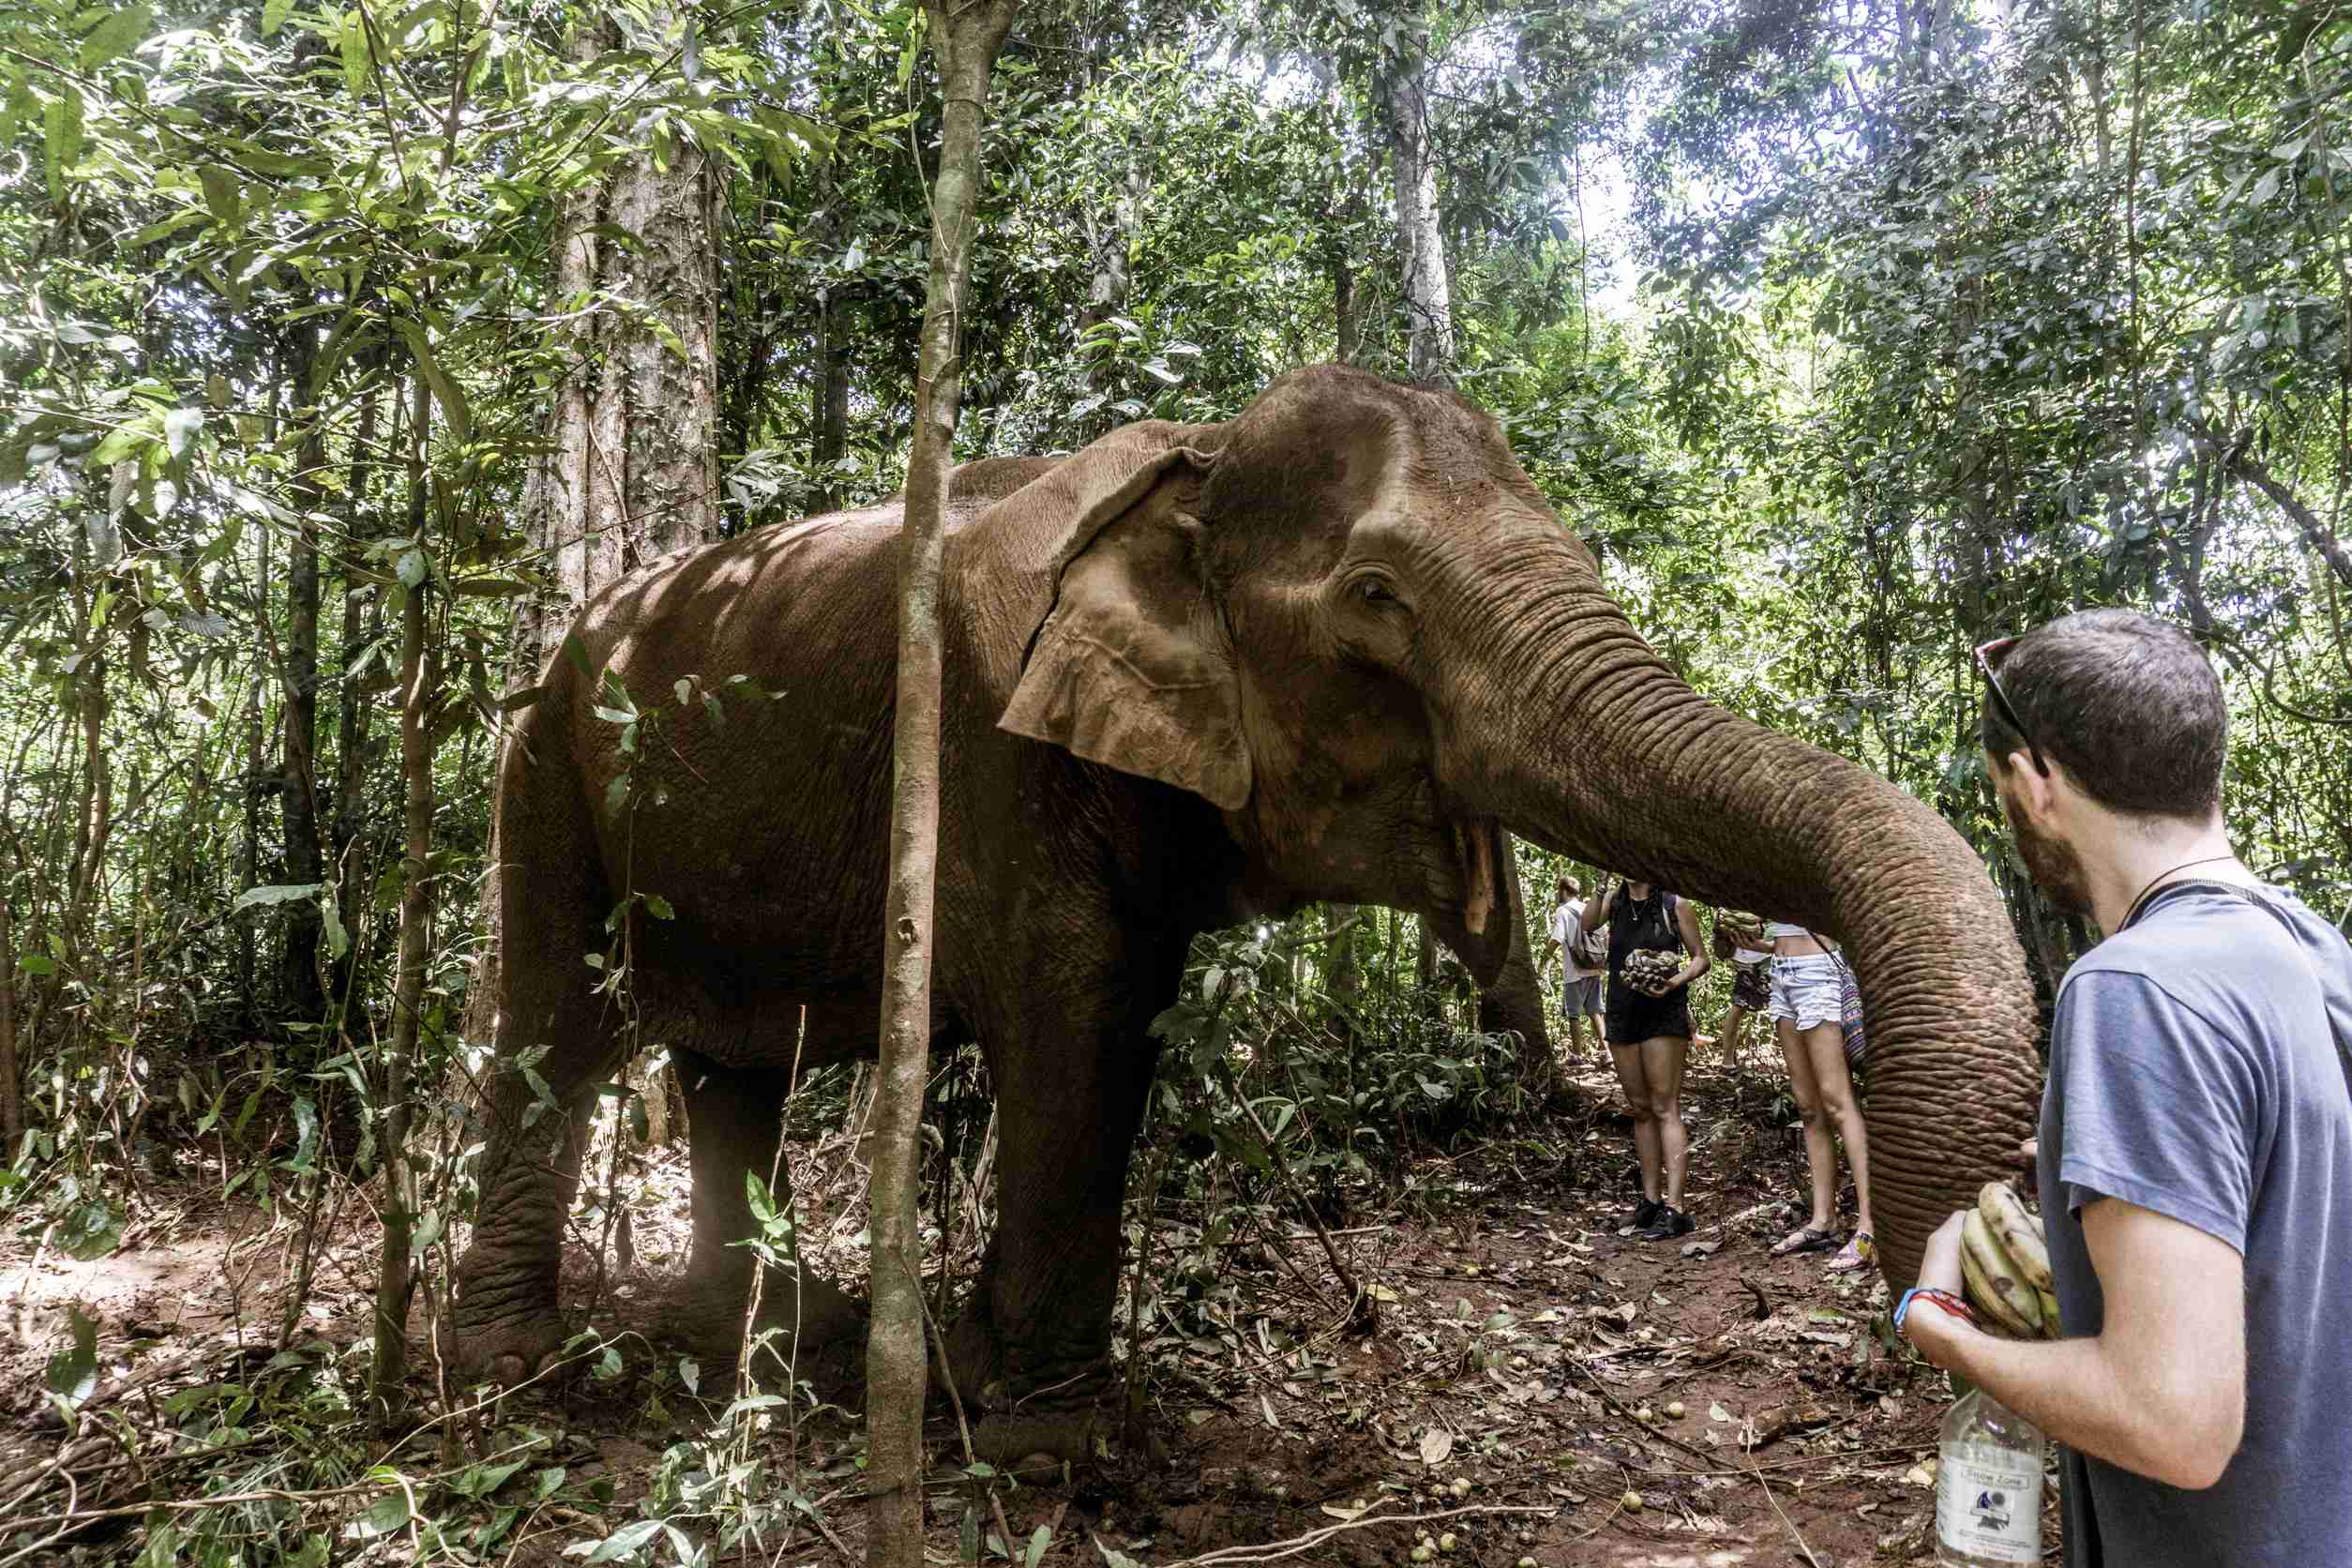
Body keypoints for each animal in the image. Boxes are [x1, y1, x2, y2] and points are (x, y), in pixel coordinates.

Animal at [450, 364, 2040, 1462]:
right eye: (1378, 596)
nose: (1944, 1283)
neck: (1185, 466)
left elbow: (1120, 1019)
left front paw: (983, 1374)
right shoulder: (985, 744)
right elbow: (1077, 1015)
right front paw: (1041, 1433)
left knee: (730, 1067)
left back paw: (781, 1333)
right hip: (545, 775)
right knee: (549, 1028)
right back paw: (511, 1362)